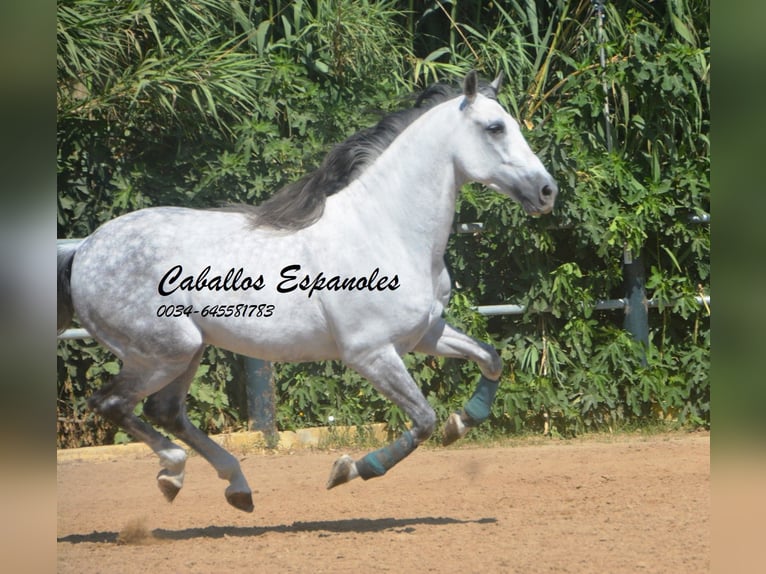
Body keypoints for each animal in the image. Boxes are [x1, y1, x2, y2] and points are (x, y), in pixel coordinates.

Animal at [57, 70, 558, 512]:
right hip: (165, 351)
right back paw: (174, 474)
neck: (386, 229)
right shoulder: (370, 353)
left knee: (164, 411)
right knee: (112, 403)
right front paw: (350, 470)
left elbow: (490, 360)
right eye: (495, 128)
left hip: (188, 349)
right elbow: (422, 420)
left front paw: (462, 422)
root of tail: (84, 250)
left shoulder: (424, 334)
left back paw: (235, 488)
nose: (547, 191)